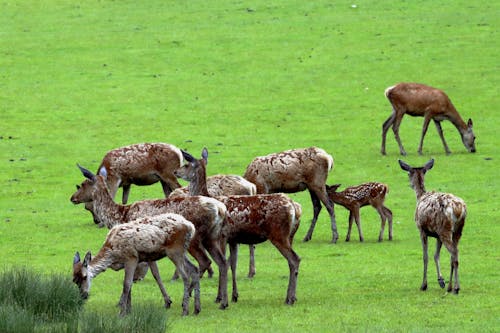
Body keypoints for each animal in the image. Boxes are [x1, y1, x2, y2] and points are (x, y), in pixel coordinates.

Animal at [72, 211, 201, 316]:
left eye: (85, 277)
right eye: (74, 280)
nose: (83, 295)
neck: (113, 254)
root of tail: (191, 227)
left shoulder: (131, 257)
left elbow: (126, 284)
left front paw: (122, 312)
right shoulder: (130, 262)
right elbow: (133, 284)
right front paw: (129, 310)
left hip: (175, 251)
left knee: (185, 276)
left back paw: (185, 310)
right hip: (182, 251)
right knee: (194, 269)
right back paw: (196, 309)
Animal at [177, 149, 300, 304]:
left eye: (187, 164)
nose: (175, 171)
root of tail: (293, 207)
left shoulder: (222, 236)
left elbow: (223, 263)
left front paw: (219, 297)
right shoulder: (233, 239)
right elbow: (233, 264)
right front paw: (234, 295)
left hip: (278, 234)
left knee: (294, 259)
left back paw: (289, 298)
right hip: (290, 236)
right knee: (292, 261)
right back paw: (292, 296)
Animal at [396, 160, 466, 292]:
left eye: (408, 173)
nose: (410, 185)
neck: (420, 196)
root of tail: (458, 209)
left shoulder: (422, 230)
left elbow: (426, 256)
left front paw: (424, 285)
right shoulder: (437, 235)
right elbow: (436, 255)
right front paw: (441, 281)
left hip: (445, 229)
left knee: (454, 253)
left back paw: (455, 287)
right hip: (457, 230)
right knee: (454, 254)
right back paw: (451, 286)